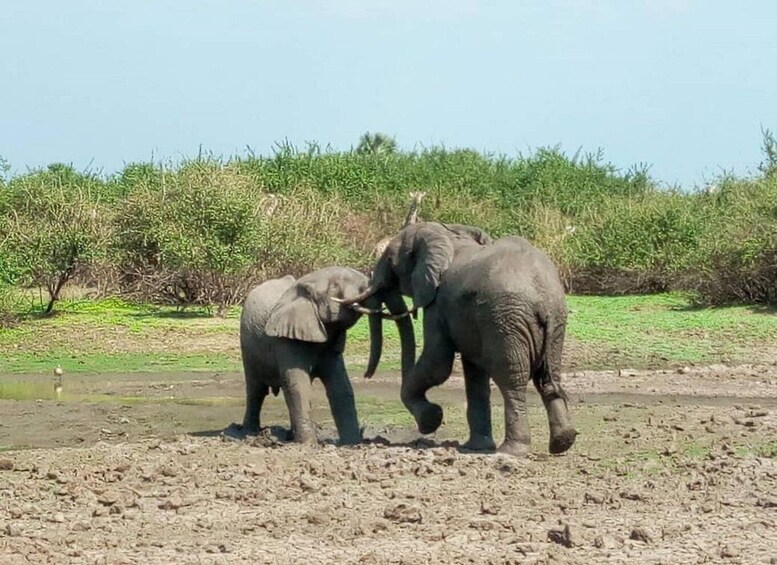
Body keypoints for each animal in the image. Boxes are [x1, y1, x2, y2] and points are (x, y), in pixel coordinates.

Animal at [224, 266, 396, 445]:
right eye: (335, 286)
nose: (366, 375)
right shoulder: (285, 339)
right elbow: (299, 385)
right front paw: (308, 444)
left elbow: (341, 387)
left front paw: (351, 443)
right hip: (247, 343)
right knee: (256, 390)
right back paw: (248, 434)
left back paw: (288, 436)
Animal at [339, 222, 577, 456]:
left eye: (389, 260)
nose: (367, 375)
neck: (447, 234)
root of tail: (542, 295)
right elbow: (474, 373)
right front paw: (476, 446)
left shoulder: (438, 303)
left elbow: (437, 364)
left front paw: (432, 418)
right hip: (553, 322)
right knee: (547, 376)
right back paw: (562, 442)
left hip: (507, 319)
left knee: (511, 378)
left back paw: (510, 451)